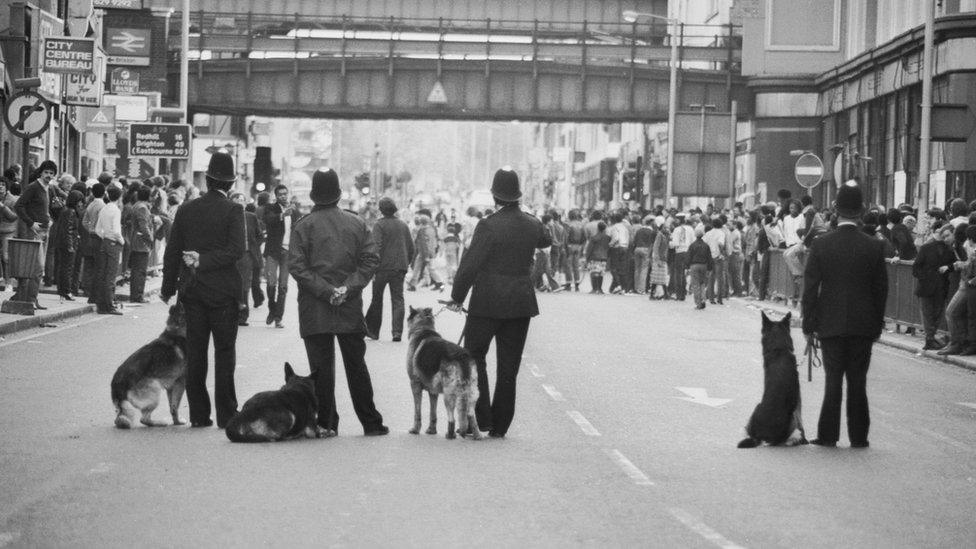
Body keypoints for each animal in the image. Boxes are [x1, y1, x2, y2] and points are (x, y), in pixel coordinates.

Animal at [404, 306, 480, 438]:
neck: (423, 327)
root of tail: (462, 356)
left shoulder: (415, 385)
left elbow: (417, 411)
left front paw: (415, 429)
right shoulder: (433, 391)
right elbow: (433, 413)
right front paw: (431, 430)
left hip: (448, 394)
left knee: (452, 419)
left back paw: (450, 435)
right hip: (472, 392)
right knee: (471, 416)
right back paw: (476, 435)